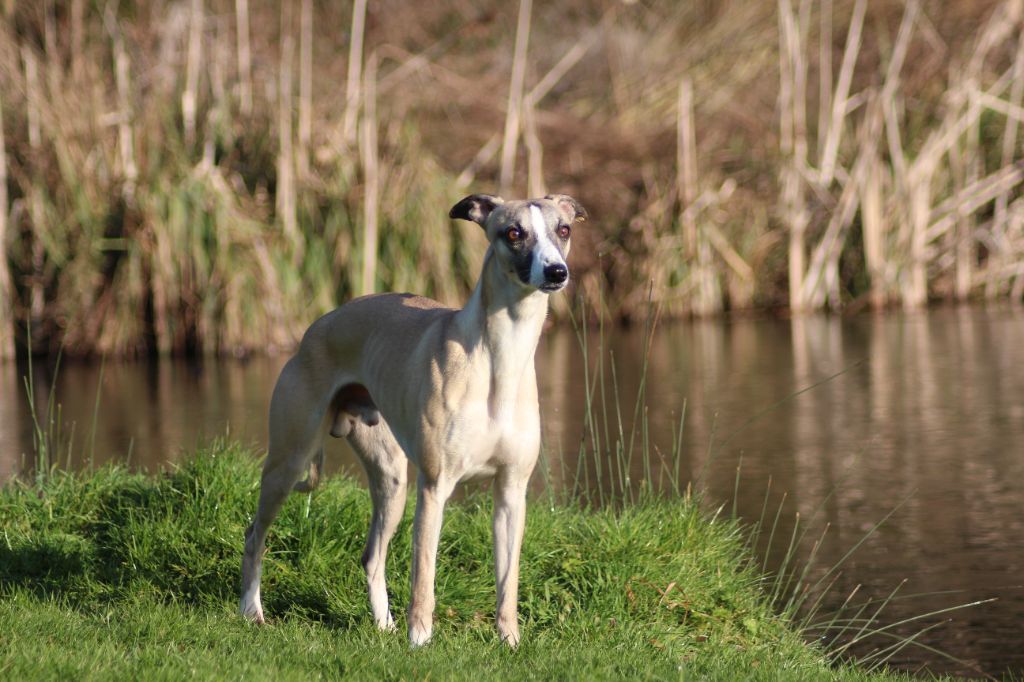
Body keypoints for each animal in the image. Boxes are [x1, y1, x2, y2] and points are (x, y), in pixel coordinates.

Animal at [239, 189, 589, 643]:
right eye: (514, 232)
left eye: (563, 229)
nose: (556, 272)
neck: (498, 360)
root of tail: (318, 325)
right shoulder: (435, 487)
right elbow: (424, 576)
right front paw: (419, 641)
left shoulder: (512, 491)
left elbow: (508, 583)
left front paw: (509, 641)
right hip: (289, 459)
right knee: (255, 535)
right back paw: (251, 610)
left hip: (392, 480)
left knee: (372, 556)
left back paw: (383, 625)